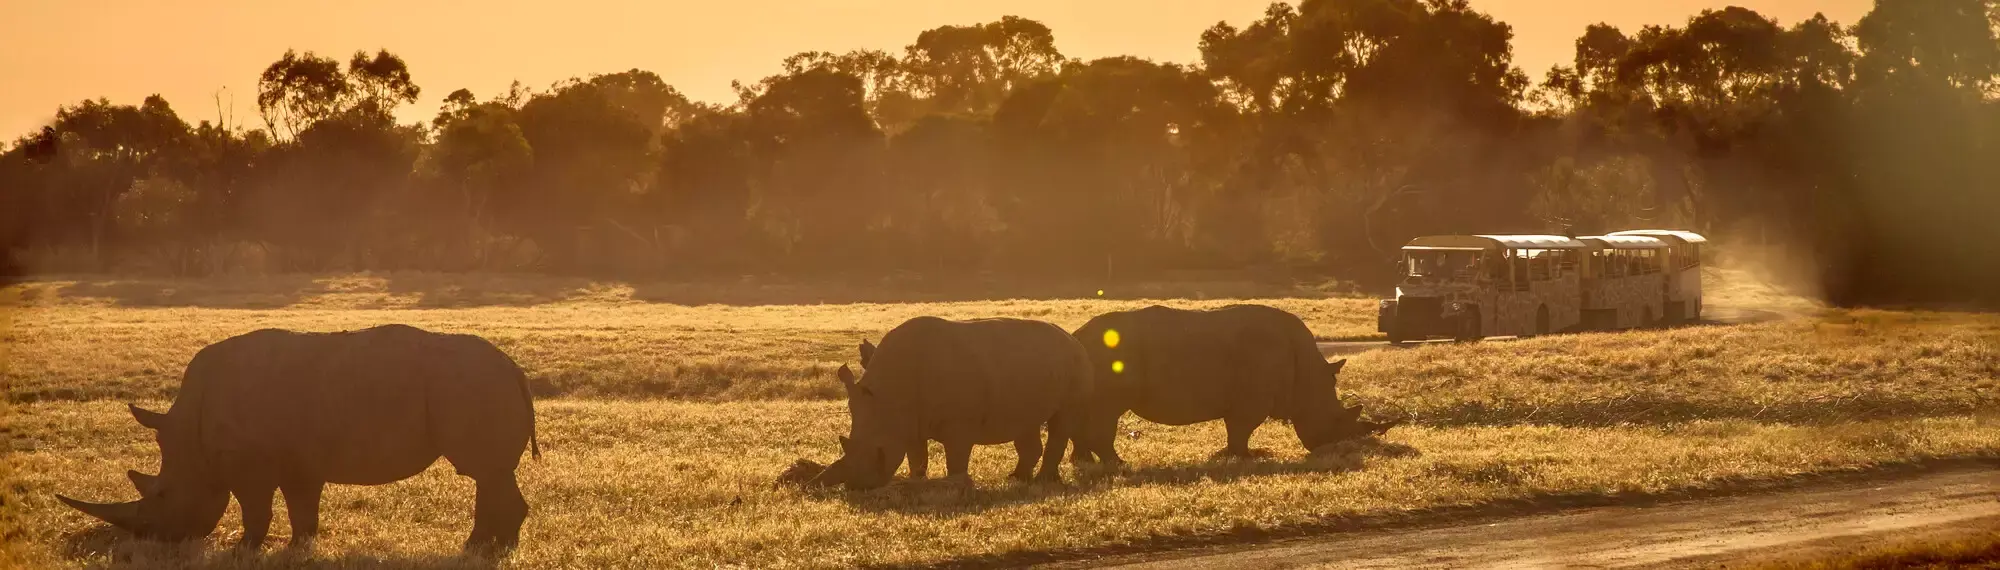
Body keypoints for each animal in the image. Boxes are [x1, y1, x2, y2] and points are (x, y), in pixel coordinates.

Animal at [55, 324, 541, 554]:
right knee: (492, 475)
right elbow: (301, 508)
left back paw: (482, 549)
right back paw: (493, 547)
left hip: (473, 384)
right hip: (475, 383)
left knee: (485, 471)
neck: (191, 443)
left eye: (161, 496)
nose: (157, 542)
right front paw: (299, 547)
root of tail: (516, 370)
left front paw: (242, 549)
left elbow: (256, 510)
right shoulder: (298, 464)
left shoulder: (249, 466)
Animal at [808, 316, 1093, 490]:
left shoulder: (959, 424)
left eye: (880, 453)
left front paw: (956, 485)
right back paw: (1018, 479)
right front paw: (917, 481)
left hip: (1075, 362)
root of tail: (1073, 338)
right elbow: (917, 457)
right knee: (1026, 423)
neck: (890, 395)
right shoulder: (911, 421)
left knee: (1060, 422)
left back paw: (1043, 482)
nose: (859, 485)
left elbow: (955, 457)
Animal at [1068, 304, 1396, 464]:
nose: (1328, 449)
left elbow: (1237, 429)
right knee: (1107, 412)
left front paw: (1230, 456)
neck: (1310, 376)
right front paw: (1244, 457)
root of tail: (1078, 334)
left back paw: (1085, 462)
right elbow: (1241, 429)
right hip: (1110, 357)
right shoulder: (1252, 400)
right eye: (1336, 420)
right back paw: (1118, 464)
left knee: (1086, 411)